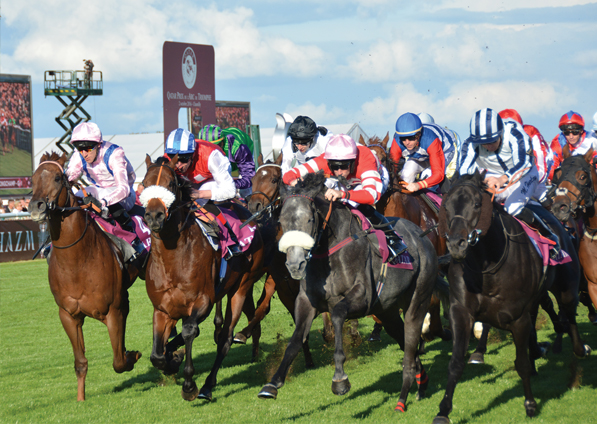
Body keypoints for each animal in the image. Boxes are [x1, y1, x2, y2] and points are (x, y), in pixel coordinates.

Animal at [28, 152, 141, 400]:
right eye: (32, 179)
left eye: (58, 178)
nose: (35, 206)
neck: (77, 263)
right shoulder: (68, 315)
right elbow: (80, 363)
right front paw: (80, 399)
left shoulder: (112, 311)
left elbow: (119, 362)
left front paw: (132, 355)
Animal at [141, 155, 264, 400]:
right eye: (144, 182)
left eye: (171, 183)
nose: (154, 215)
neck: (172, 259)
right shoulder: (162, 309)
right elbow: (156, 355)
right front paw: (171, 360)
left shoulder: (202, 301)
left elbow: (189, 331)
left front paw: (189, 384)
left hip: (241, 287)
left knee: (225, 338)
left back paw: (207, 386)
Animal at [258, 171, 438, 410]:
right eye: (282, 222)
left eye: (309, 219)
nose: (295, 265)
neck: (328, 252)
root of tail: (423, 236)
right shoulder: (306, 301)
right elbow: (296, 339)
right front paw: (273, 383)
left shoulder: (362, 297)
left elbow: (337, 314)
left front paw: (340, 380)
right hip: (387, 311)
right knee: (403, 339)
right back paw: (422, 380)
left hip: (416, 300)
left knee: (411, 338)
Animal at [430, 171, 588, 422]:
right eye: (446, 205)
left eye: (477, 204)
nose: (456, 244)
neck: (487, 267)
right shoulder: (460, 311)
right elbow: (455, 362)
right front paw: (443, 410)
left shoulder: (517, 317)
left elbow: (520, 363)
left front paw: (530, 404)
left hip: (567, 288)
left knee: (569, 313)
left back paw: (579, 348)